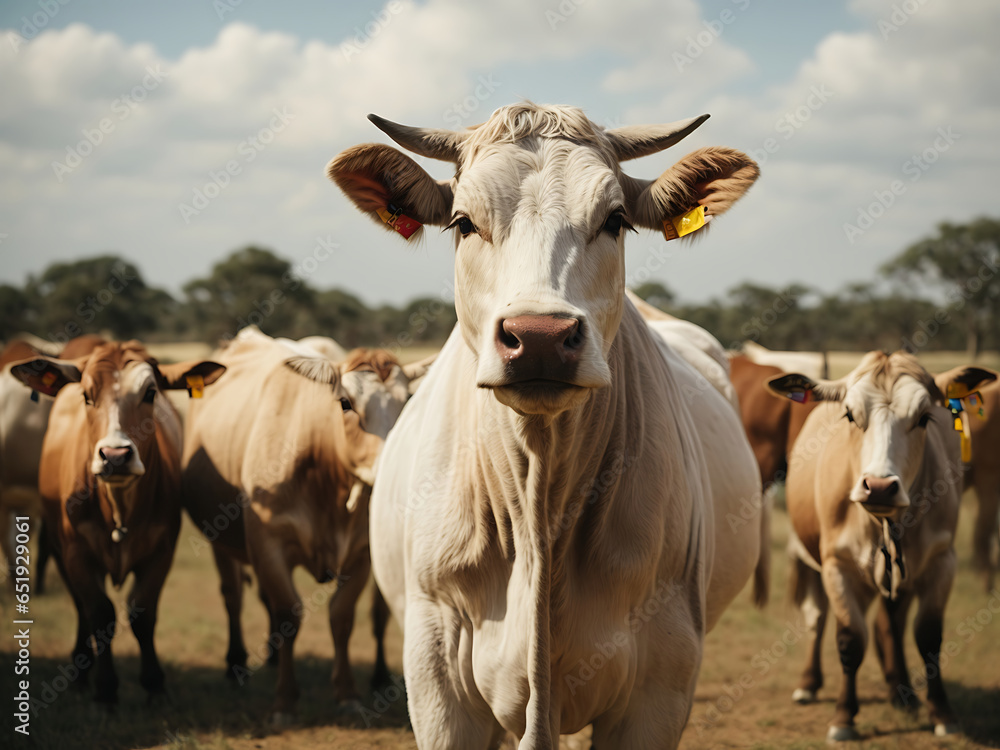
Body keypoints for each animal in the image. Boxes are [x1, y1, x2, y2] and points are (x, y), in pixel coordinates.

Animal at [10, 344, 225, 708]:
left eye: (151, 393)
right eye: (86, 395)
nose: (114, 456)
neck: (119, 508)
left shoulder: (162, 551)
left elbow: (142, 612)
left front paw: (154, 684)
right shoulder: (76, 554)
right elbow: (100, 613)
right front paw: (106, 688)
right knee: (81, 608)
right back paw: (82, 671)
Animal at [180, 330, 426, 724]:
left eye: (408, 402)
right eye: (346, 403)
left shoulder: (362, 553)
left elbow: (341, 616)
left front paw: (347, 693)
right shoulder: (269, 544)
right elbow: (287, 617)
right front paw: (284, 701)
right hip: (220, 541)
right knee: (232, 596)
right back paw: (235, 664)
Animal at [328, 103, 764, 748]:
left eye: (615, 220)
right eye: (463, 222)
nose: (538, 337)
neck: (539, 504)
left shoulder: (660, 682)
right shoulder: (438, 680)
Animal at [764, 356, 992, 744]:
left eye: (924, 417)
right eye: (850, 415)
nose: (880, 486)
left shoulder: (942, 560)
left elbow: (928, 636)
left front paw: (942, 713)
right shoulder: (837, 564)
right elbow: (850, 639)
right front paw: (843, 717)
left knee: (891, 623)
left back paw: (901, 691)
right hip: (809, 557)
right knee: (817, 616)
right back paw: (809, 683)